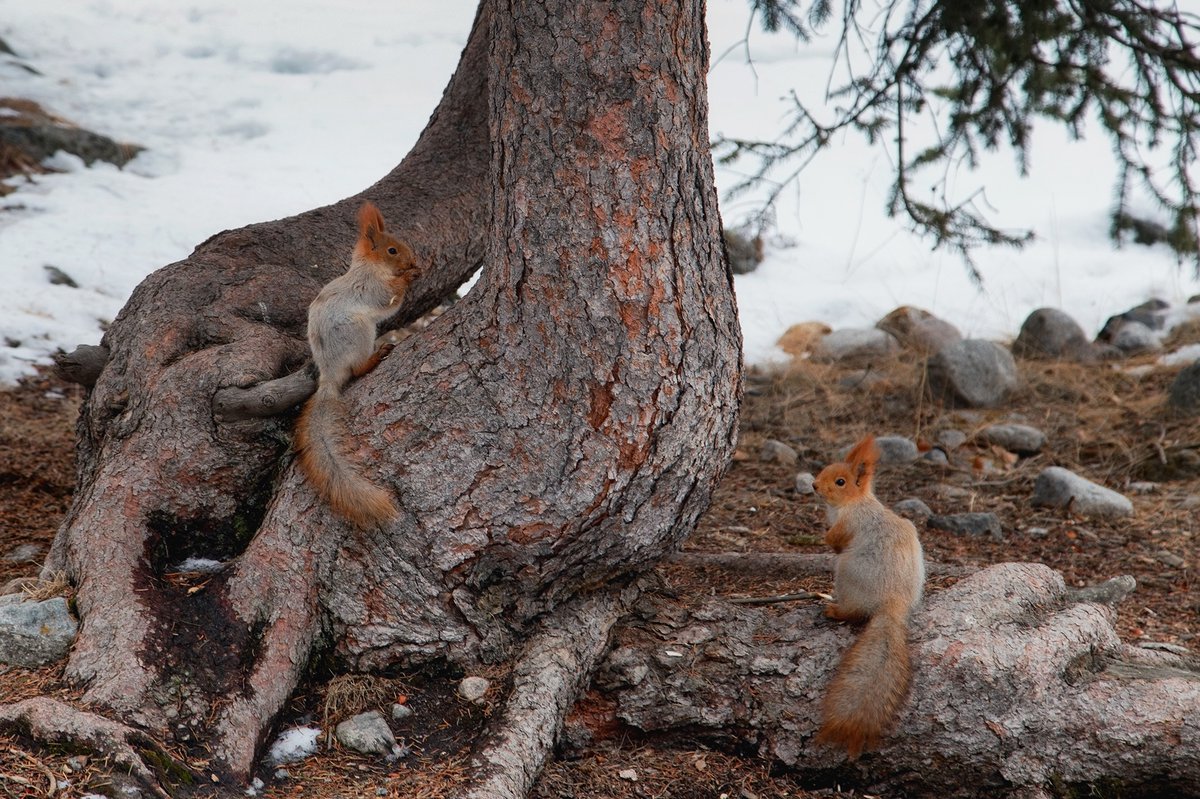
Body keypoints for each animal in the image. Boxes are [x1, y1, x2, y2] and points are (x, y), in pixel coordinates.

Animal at [292, 200, 420, 523]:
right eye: (392, 250)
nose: (413, 259)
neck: (368, 266)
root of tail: (329, 374)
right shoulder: (372, 288)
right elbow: (390, 299)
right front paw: (409, 277)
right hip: (359, 331)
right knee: (357, 369)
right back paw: (375, 357)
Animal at [811, 431, 921, 758]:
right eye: (825, 469)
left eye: (840, 482)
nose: (814, 485)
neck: (857, 502)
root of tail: (892, 604)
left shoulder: (847, 523)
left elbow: (834, 540)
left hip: (845, 572)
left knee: (854, 612)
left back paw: (834, 610)